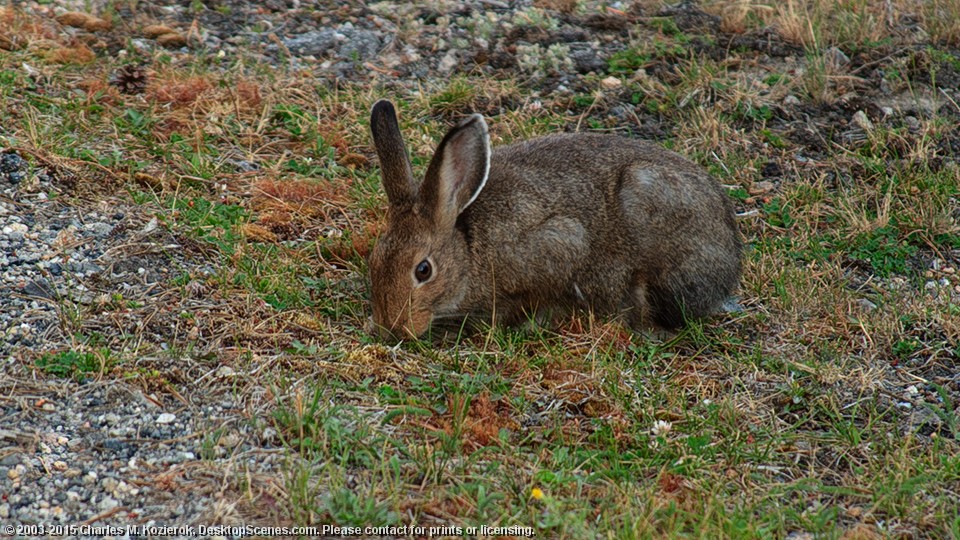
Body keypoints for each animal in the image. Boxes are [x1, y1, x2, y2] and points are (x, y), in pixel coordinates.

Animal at [368, 99, 744, 340]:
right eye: (375, 260)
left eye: (423, 271)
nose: (393, 327)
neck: (469, 247)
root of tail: (730, 261)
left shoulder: (557, 243)